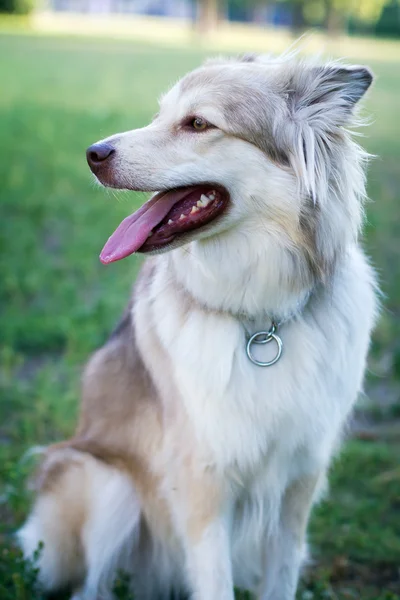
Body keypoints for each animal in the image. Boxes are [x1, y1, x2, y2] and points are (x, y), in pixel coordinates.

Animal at [18, 52, 376, 600]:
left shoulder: (297, 487)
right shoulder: (203, 483)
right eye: (161, 115)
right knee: (89, 586)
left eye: (198, 124)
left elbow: (281, 577)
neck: (262, 325)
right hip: (107, 486)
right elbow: (214, 581)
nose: (92, 153)